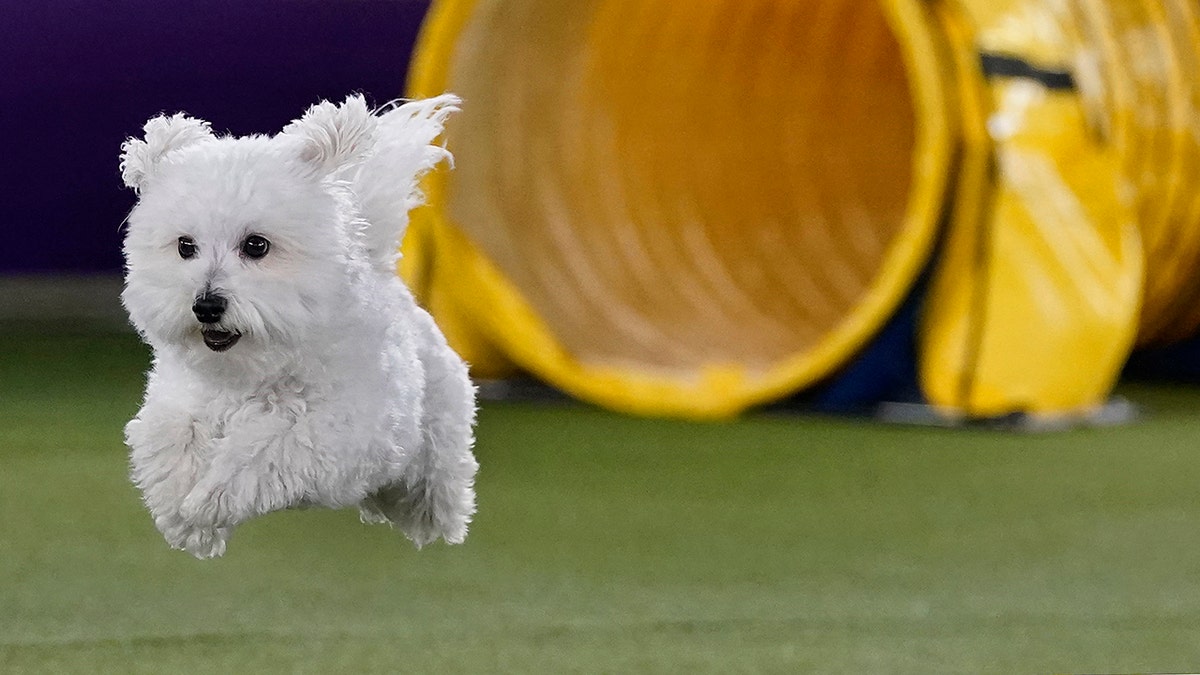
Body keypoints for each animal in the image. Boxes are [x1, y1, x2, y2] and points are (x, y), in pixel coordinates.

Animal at [120, 94, 477, 557]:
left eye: (256, 245)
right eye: (185, 246)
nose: (206, 305)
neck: (253, 368)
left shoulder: (337, 428)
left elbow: (263, 450)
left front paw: (207, 502)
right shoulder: (178, 404)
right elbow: (172, 443)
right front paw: (184, 518)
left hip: (437, 430)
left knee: (434, 484)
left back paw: (440, 519)